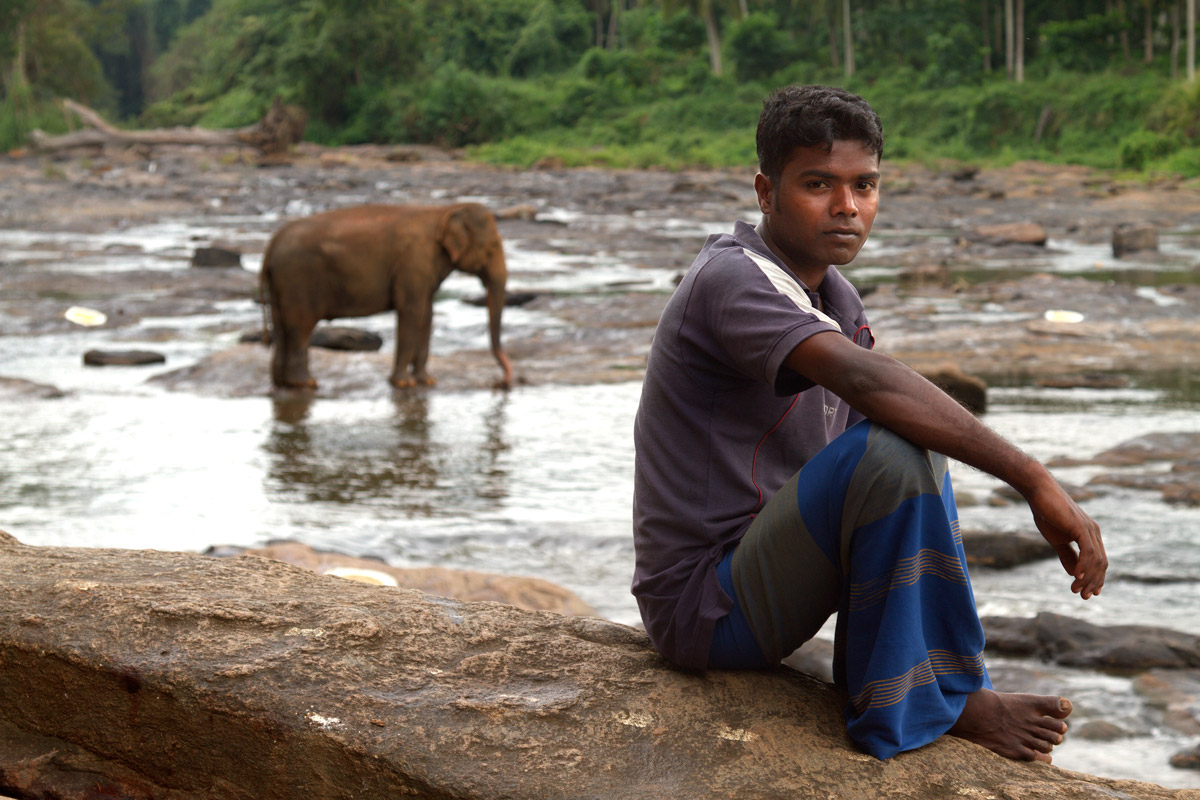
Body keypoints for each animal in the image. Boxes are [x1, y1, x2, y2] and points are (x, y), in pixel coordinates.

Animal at [260, 202, 513, 391]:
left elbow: (427, 314)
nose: (502, 382)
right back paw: (306, 384)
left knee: (282, 328)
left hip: (281, 284)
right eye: (493, 246)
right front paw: (403, 383)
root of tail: (271, 245)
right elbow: (412, 312)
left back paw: (281, 384)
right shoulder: (413, 261)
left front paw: (427, 381)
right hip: (298, 280)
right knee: (300, 327)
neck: (444, 210)